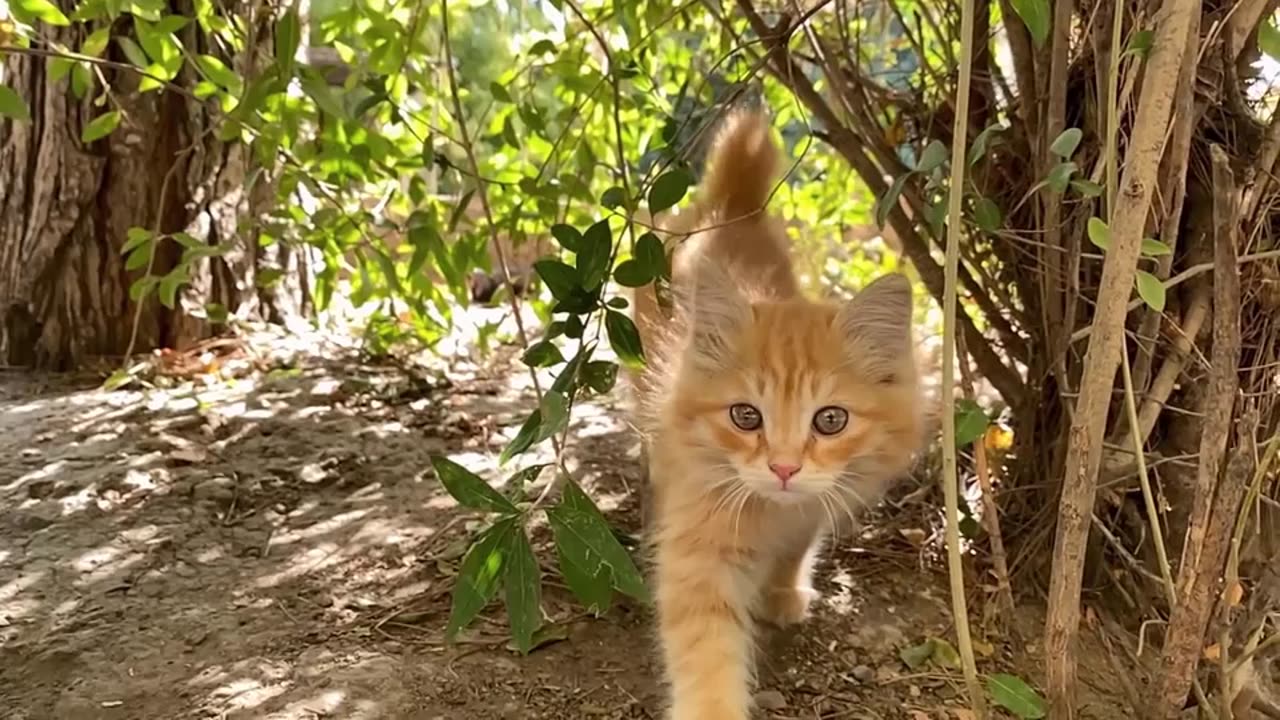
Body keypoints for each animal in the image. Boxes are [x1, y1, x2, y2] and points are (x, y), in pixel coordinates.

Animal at [629, 107, 921, 717]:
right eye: (746, 417)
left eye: (830, 420)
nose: (784, 467)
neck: (771, 513)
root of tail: (730, 207)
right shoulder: (699, 548)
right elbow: (707, 649)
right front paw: (712, 710)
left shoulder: (811, 513)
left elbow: (796, 548)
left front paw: (782, 592)